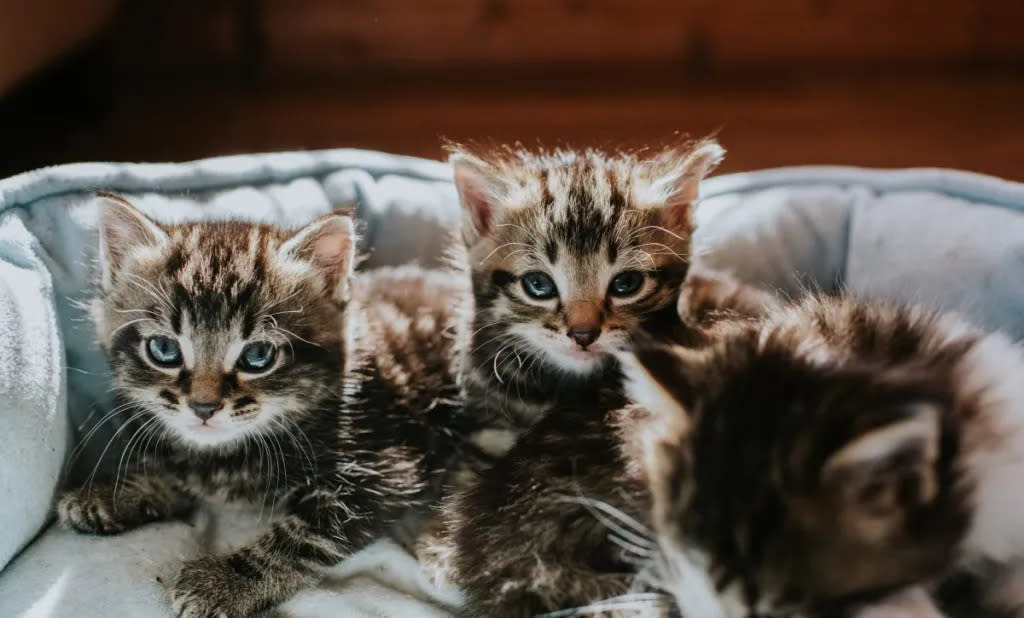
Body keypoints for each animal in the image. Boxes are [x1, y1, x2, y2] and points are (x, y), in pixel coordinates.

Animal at [61, 196, 477, 618]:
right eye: (164, 349)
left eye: (258, 356)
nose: (203, 407)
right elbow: (179, 469)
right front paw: (111, 493)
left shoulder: (385, 469)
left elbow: (304, 536)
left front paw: (226, 582)